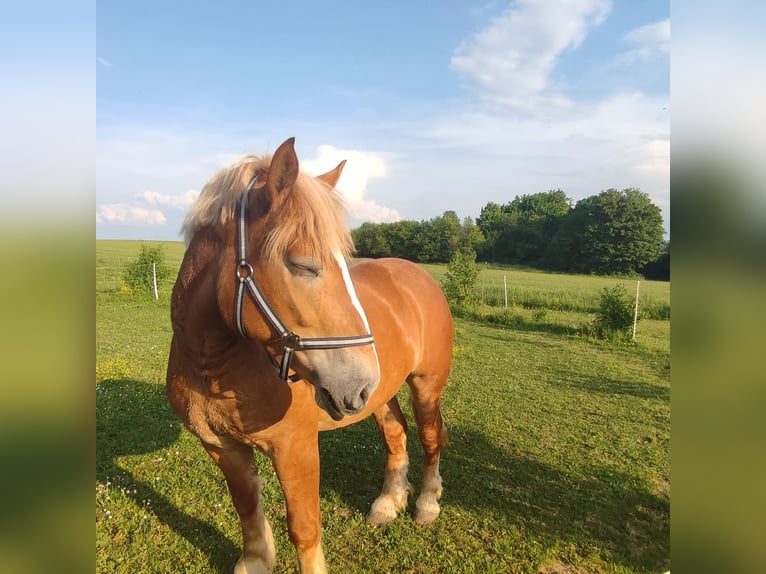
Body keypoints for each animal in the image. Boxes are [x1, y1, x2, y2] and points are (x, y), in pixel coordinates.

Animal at [166, 137, 456, 572]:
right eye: (302, 264)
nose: (359, 381)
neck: (212, 363)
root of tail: (418, 274)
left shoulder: (296, 449)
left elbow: (303, 528)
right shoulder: (222, 448)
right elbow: (247, 508)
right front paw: (256, 559)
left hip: (424, 386)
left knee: (430, 436)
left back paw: (426, 504)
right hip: (380, 395)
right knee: (396, 433)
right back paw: (388, 503)